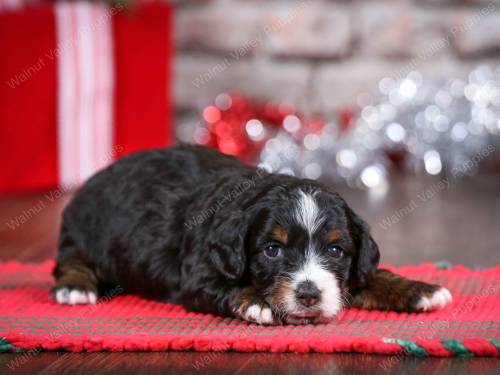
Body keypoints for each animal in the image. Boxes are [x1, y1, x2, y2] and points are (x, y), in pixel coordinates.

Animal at [52, 145, 452, 324]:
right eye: (272, 250)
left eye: (336, 251)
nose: (309, 295)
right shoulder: (197, 275)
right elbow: (228, 287)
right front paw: (259, 301)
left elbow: (371, 275)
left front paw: (420, 289)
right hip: (81, 232)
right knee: (68, 262)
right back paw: (76, 287)